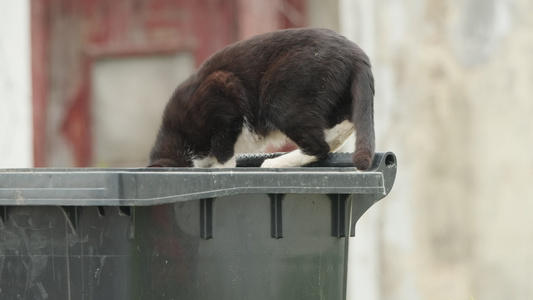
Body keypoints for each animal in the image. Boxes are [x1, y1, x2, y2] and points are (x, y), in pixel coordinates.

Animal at [149, 27, 374, 170]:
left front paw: (222, 169)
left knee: (320, 147)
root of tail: (355, 51)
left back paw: (273, 163)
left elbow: (223, 149)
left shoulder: (221, 89)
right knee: (344, 125)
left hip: (283, 97)